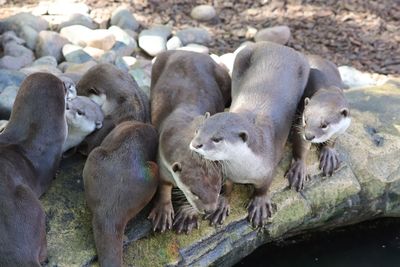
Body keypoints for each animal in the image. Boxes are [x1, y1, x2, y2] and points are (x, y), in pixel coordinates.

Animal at [148, 50, 231, 234]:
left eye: (217, 188)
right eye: (194, 193)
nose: (210, 209)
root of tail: (189, 51)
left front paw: (188, 215)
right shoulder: (162, 161)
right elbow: (163, 186)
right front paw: (163, 210)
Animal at [190, 42, 310, 228]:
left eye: (217, 139)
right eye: (198, 130)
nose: (196, 144)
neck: (242, 170)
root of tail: (279, 47)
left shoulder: (268, 168)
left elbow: (263, 188)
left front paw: (260, 206)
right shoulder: (226, 172)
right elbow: (227, 187)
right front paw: (221, 205)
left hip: (305, 67)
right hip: (241, 57)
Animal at [284, 55, 350, 191]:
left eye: (324, 125)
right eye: (305, 120)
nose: (309, 136)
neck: (328, 87)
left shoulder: (343, 126)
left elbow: (333, 139)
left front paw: (329, 155)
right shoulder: (300, 126)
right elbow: (301, 145)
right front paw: (299, 170)